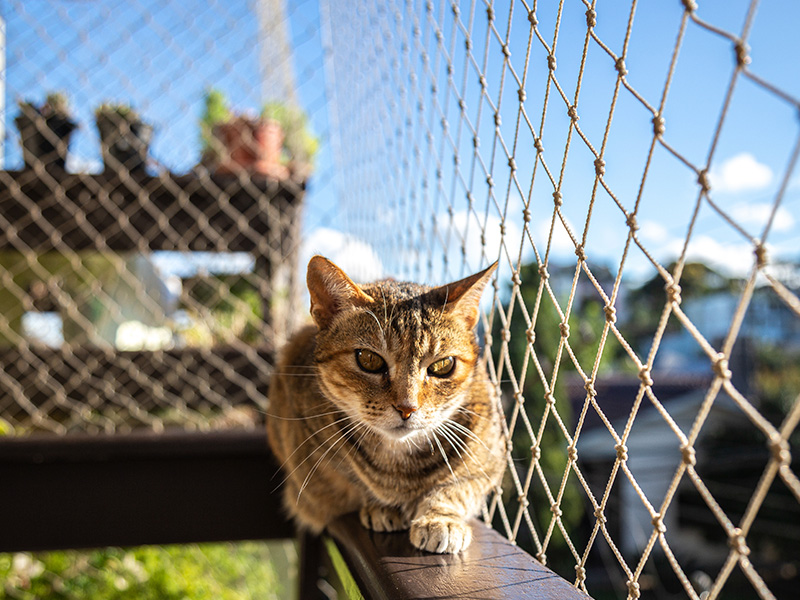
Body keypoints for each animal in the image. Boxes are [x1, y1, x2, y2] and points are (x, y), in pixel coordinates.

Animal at [268, 254, 506, 552]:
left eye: (442, 366)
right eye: (369, 359)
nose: (407, 408)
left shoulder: (490, 460)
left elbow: (457, 488)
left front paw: (440, 518)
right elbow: (353, 481)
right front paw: (380, 506)